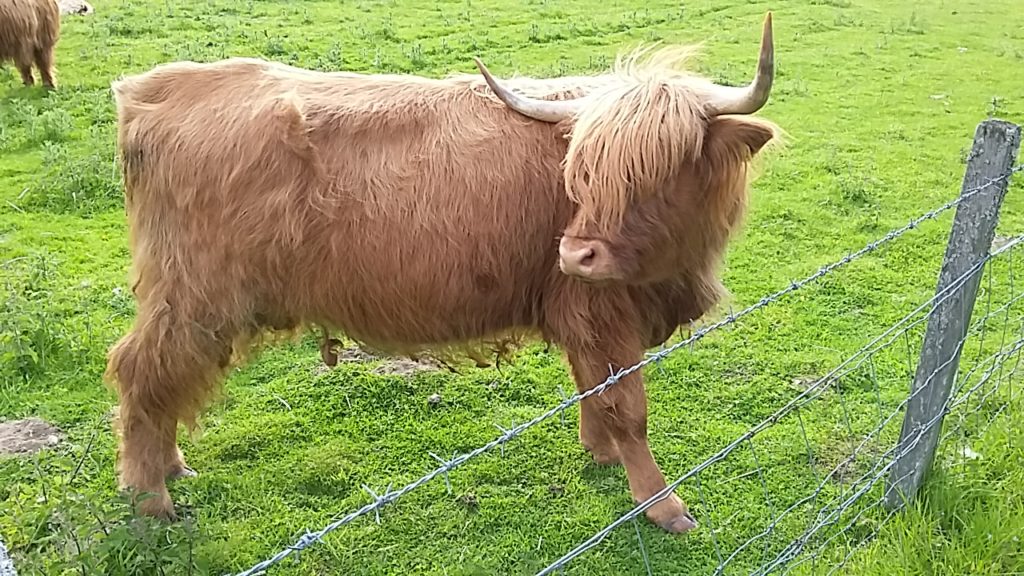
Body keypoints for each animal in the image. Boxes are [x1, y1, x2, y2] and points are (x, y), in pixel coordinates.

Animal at [103, 13, 778, 532]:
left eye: (663, 166)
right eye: (585, 168)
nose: (576, 255)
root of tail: (153, 88)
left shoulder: (581, 311)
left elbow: (592, 390)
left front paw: (601, 455)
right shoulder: (600, 309)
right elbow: (626, 407)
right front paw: (663, 506)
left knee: (160, 381)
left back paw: (170, 467)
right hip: (194, 296)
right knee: (140, 373)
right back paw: (150, 500)